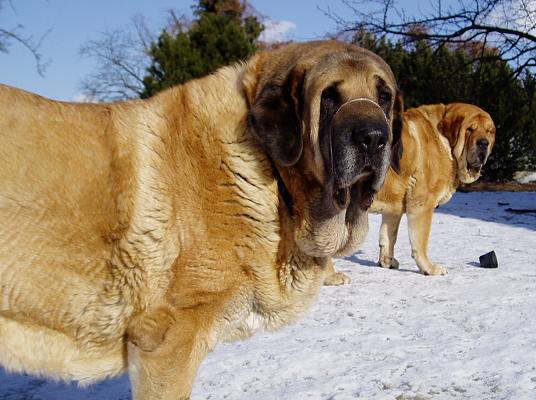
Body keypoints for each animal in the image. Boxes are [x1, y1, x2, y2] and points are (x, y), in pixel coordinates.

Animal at [322, 102, 494, 284]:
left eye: (489, 131)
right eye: (469, 129)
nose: (483, 143)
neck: (444, 141)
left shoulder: (393, 208)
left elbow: (388, 236)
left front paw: (387, 262)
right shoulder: (422, 205)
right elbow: (420, 241)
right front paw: (429, 268)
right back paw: (331, 276)